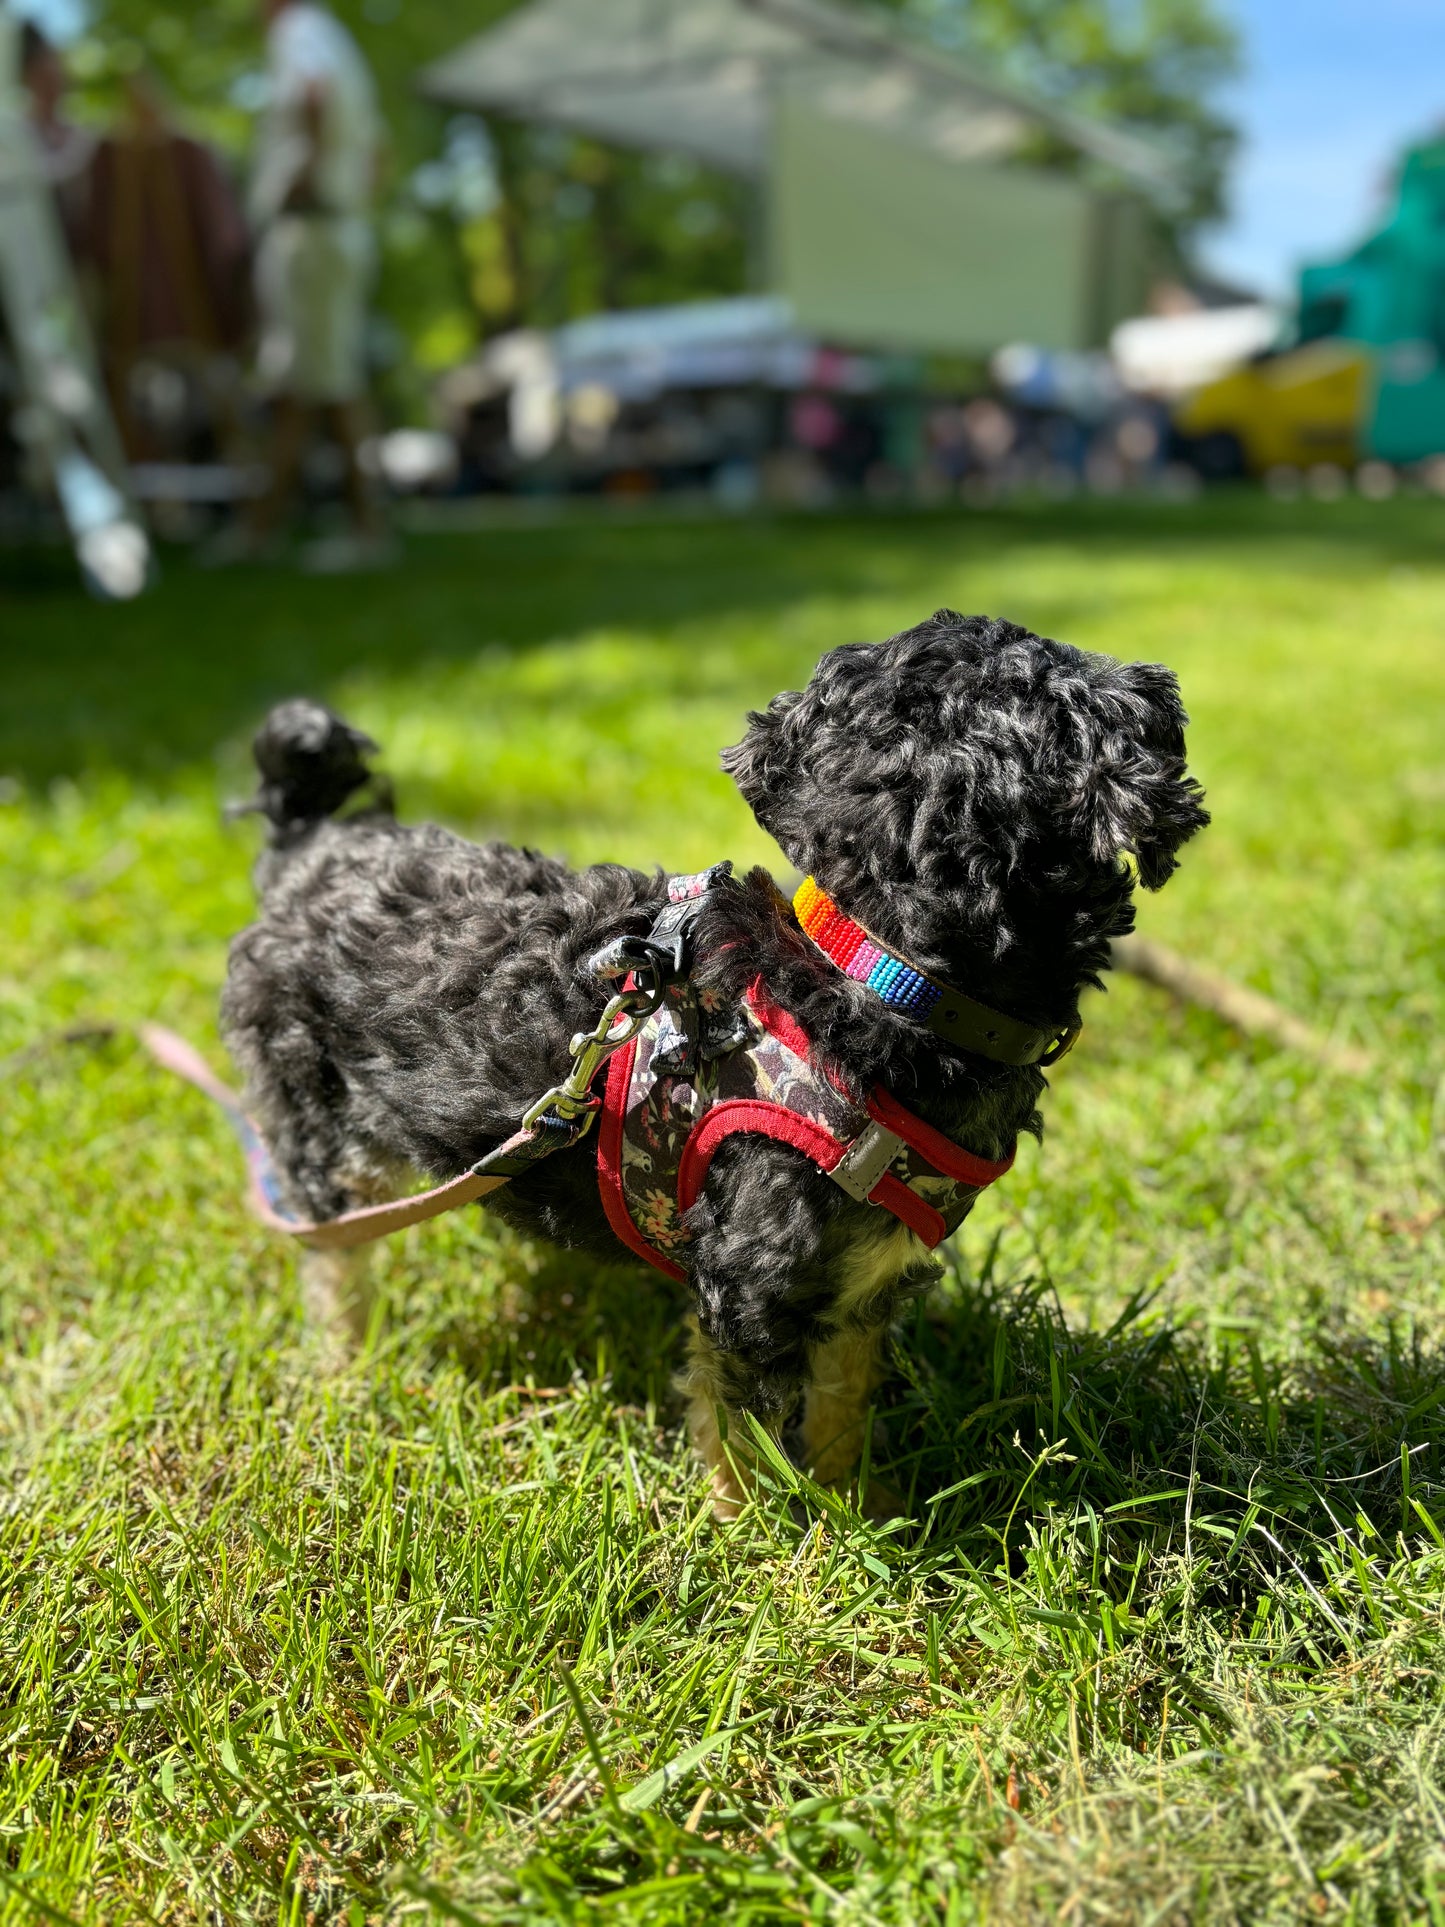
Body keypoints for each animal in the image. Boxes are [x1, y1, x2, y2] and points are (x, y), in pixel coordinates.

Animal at [220, 608, 1202, 1510]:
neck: (877, 977)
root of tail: (313, 845)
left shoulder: (857, 1286)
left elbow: (841, 1408)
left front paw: (854, 1508)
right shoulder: (748, 1288)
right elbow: (740, 1435)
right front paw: (755, 1545)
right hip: (318, 1126)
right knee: (333, 1261)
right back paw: (347, 1377)